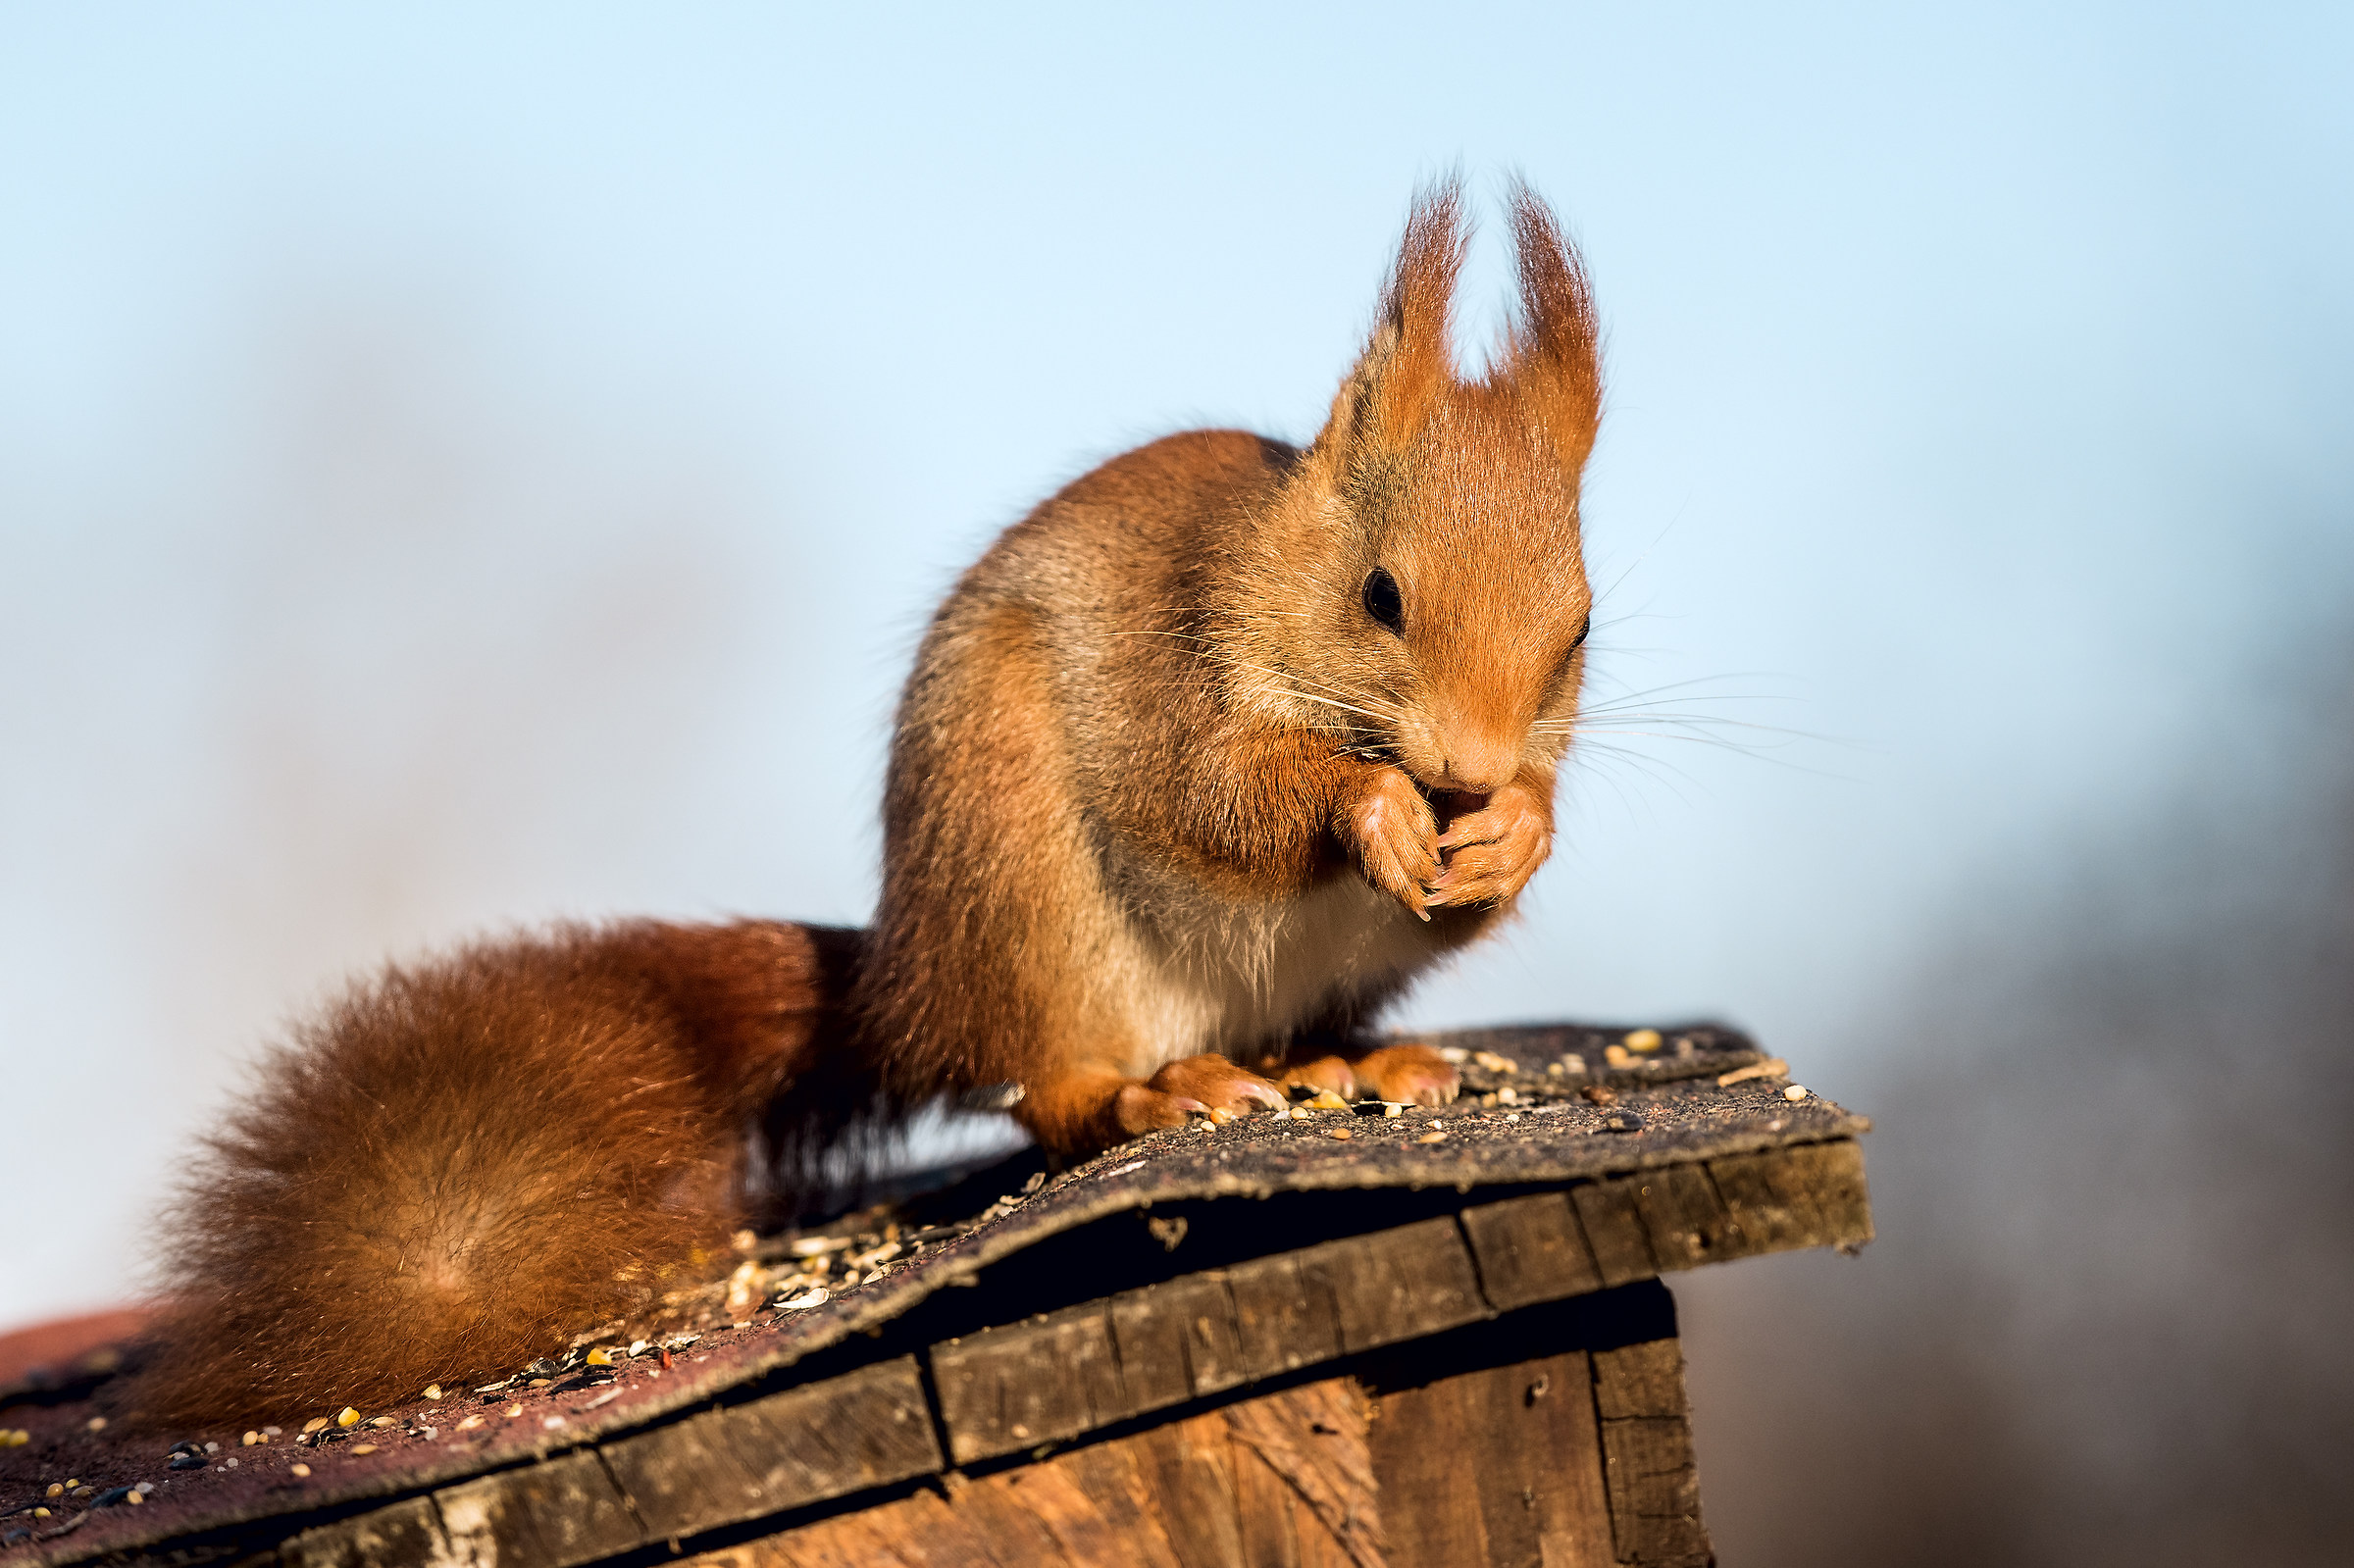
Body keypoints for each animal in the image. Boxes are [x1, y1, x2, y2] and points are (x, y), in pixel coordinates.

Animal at [137, 180, 1602, 1426]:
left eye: (1580, 629)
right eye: (1381, 595)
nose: (1467, 772)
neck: (1268, 567)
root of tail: (910, 981)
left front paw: (1517, 833)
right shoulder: (1170, 672)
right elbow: (1214, 800)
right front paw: (1376, 809)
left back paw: (1345, 1061)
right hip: (1019, 883)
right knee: (1044, 1089)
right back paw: (1153, 1094)